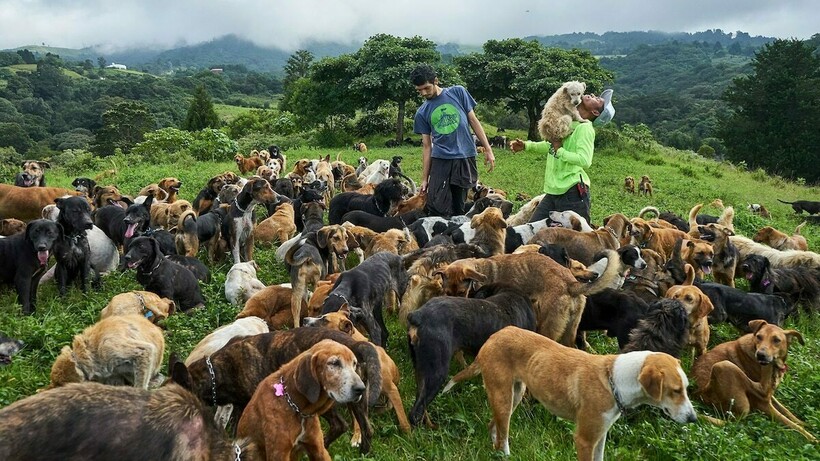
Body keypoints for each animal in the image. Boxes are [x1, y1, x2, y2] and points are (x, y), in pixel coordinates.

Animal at [237, 338, 366, 460]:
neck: (298, 409)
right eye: (334, 363)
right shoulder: (278, 453)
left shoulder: (318, 449)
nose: (361, 389)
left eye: (354, 364)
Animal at [302, 306, 410, 438]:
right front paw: (357, 435)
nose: (304, 319)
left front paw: (409, 435)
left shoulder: (392, 390)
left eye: (325, 320)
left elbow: (402, 417)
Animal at [446, 326, 696, 458]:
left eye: (686, 389)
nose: (693, 418)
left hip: (513, 396)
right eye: (675, 391)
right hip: (504, 398)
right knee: (503, 435)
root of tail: (494, 335)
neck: (615, 380)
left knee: (495, 426)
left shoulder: (601, 436)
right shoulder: (584, 439)